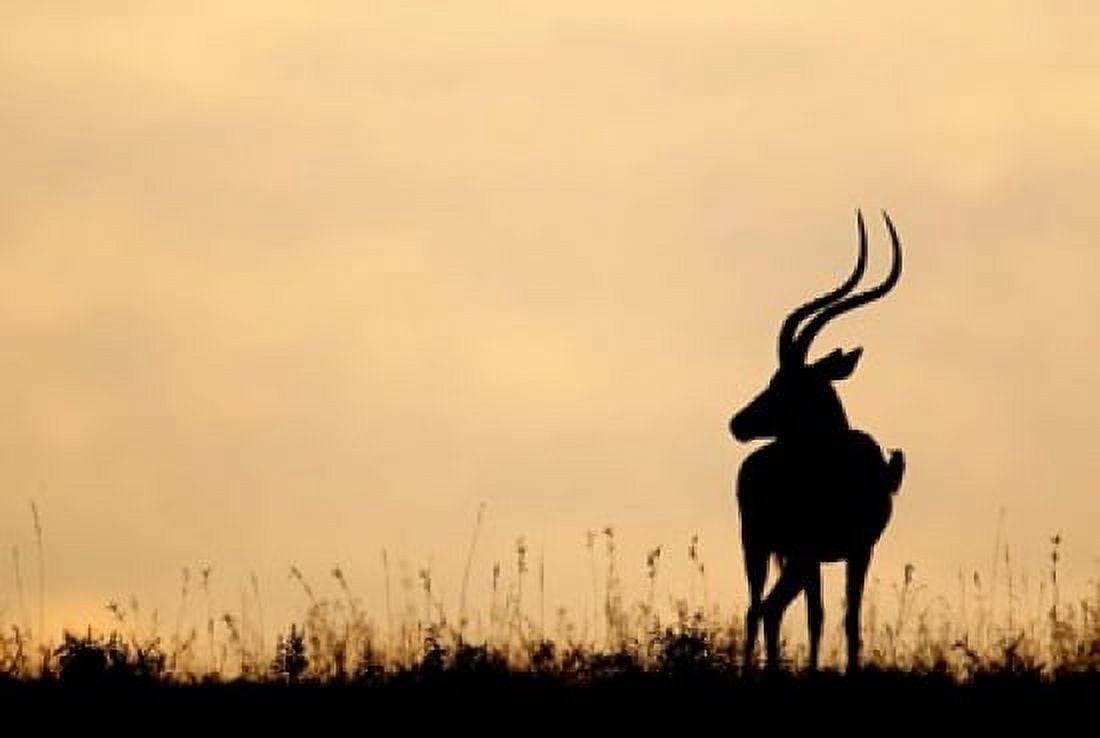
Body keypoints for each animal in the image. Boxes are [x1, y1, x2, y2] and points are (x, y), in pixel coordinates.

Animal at [729, 210, 906, 672]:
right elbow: (816, 616)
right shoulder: (809, 551)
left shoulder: (858, 551)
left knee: (770, 608)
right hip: (757, 546)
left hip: (790, 558)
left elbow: (850, 619)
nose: (737, 423)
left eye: (787, 383)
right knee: (755, 608)